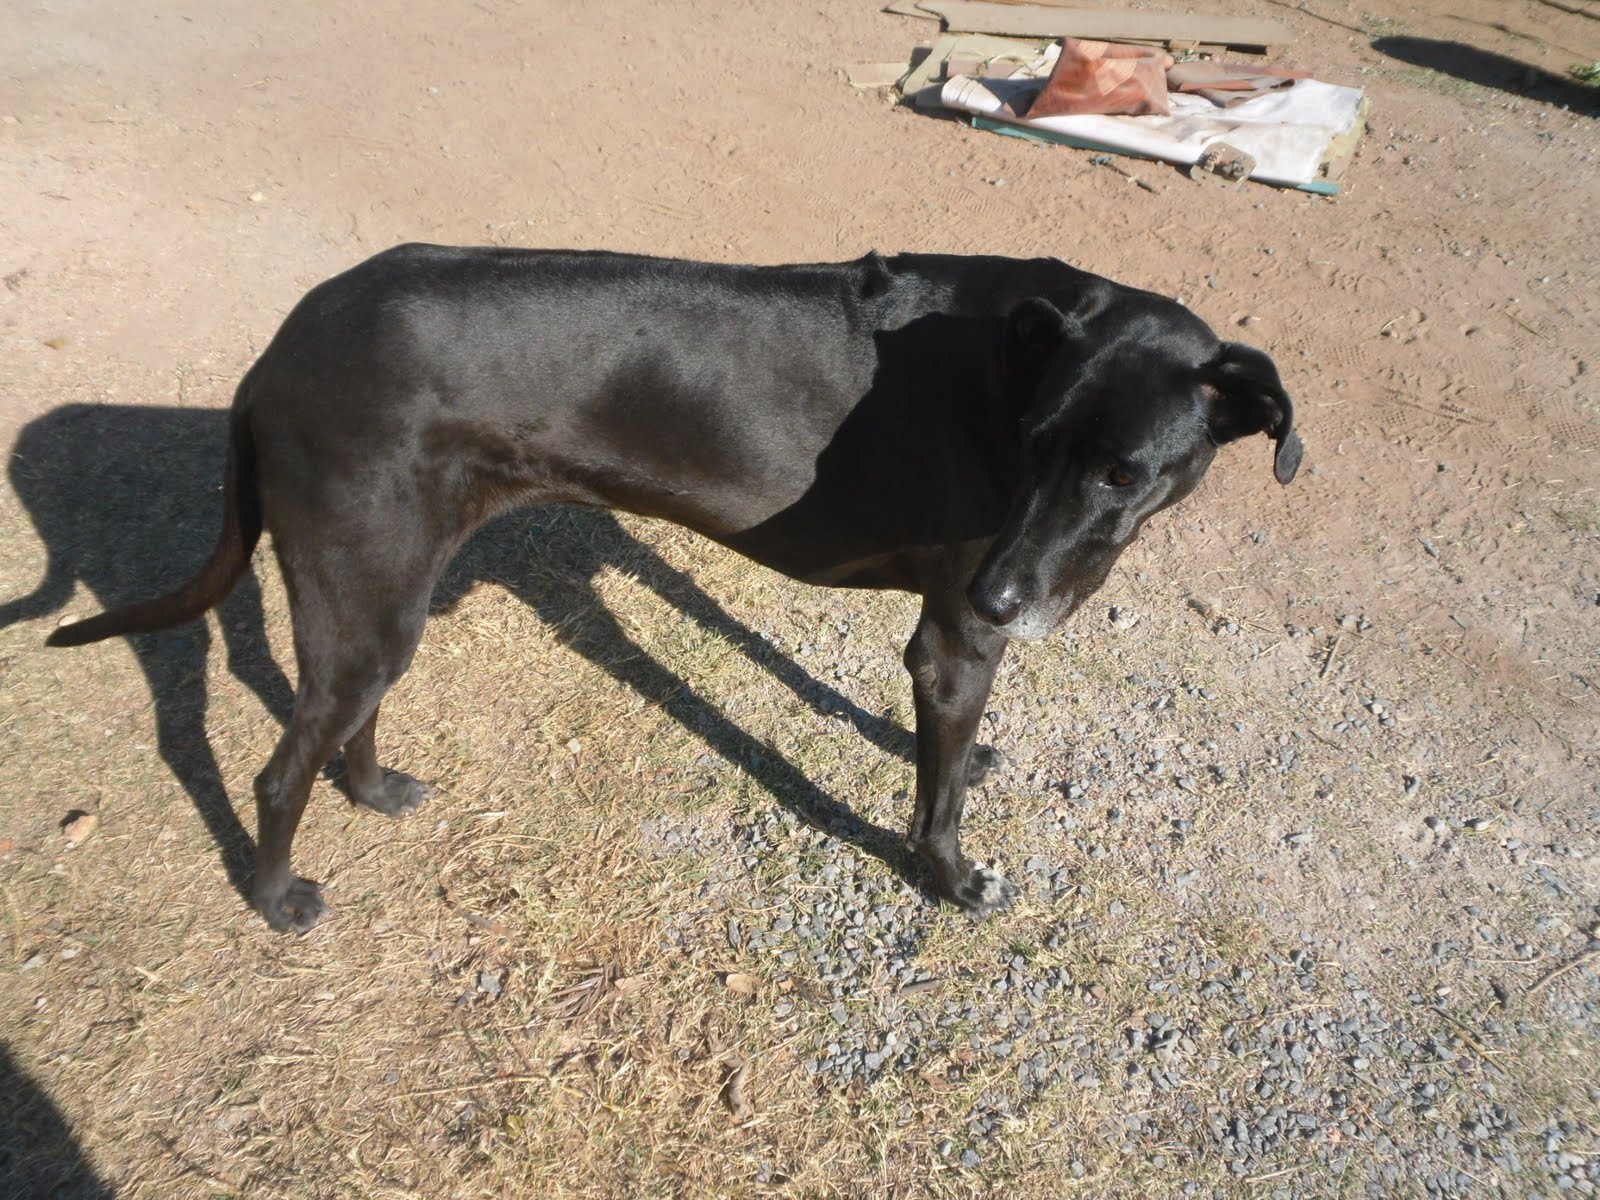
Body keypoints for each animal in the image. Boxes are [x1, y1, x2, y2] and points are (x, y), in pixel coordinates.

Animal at [48, 245, 1302, 933]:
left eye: (1122, 472)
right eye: (1032, 445)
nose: (1006, 597)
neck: (1022, 356)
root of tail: (280, 352)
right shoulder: (951, 641)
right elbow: (935, 795)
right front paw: (948, 878)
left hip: (390, 591)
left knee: (345, 718)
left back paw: (371, 790)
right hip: (367, 590)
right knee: (276, 770)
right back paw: (273, 898)